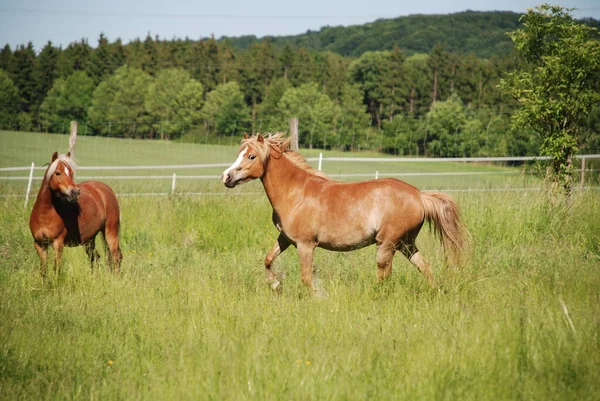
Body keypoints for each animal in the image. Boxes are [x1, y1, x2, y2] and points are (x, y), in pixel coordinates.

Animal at [223, 133, 472, 292]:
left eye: (251, 156)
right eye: (239, 153)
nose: (226, 177)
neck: (296, 193)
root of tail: (420, 196)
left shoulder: (305, 245)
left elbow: (306, 278)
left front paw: (317, 297)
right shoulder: (285, 238)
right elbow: (268, 259)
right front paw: (275, 284)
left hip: (387, 244)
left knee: (384, 275)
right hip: (406, 243)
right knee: (424, 267)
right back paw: (435, 291)